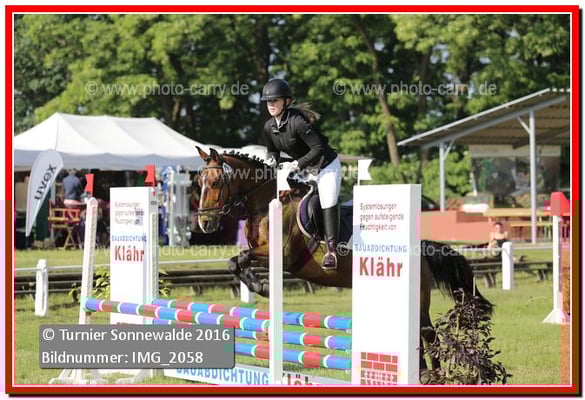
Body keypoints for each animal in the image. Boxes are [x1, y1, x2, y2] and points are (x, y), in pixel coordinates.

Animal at [194, 147, 493, 370]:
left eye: (215, 182)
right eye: (199, 183)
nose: (205, 223)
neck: (265, 203)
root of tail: (420, 248)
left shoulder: (283, 256)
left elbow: (243, 257)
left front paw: (262, 286)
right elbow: (234, 261)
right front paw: (258, 285)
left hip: (418, 298)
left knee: (428, 333)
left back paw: (432, 375)